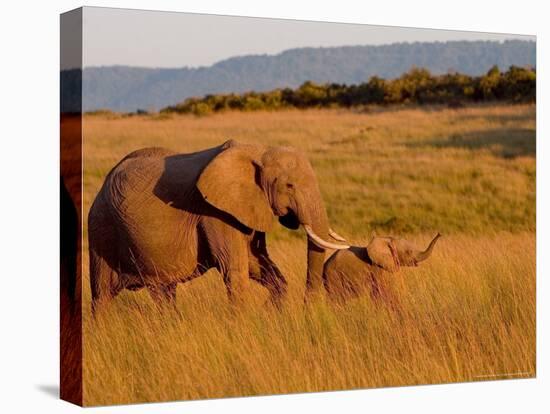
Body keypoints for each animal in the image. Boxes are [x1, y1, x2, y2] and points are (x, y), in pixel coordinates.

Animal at [90, 140, 350, 310]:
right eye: (289, 186)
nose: (309, 309)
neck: (258, 151)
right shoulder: (214, 212)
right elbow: (235, 269)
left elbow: (257, 263)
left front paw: (269, 312)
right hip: (101, 229)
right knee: (101, 296)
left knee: (163, 293)